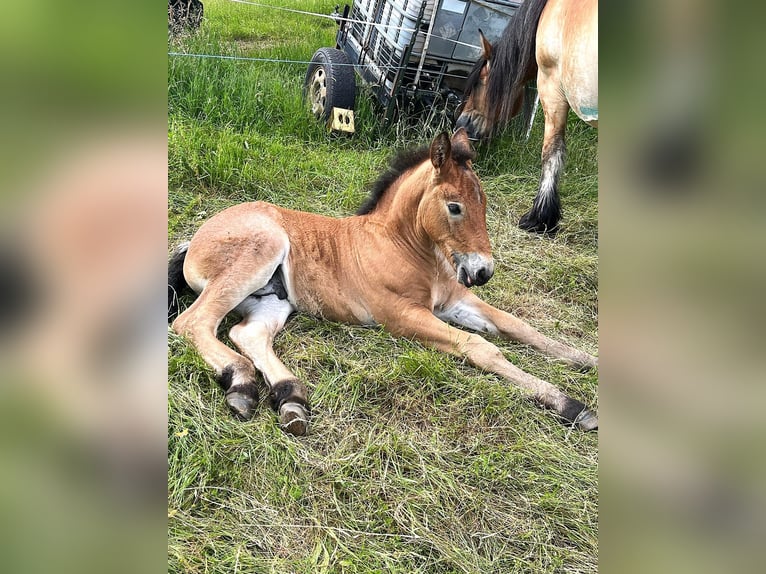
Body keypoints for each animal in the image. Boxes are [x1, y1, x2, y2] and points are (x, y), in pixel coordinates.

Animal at [170, 132, 600, 436]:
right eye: (455, 206)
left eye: (485, 204)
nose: (483, 272)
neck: (407, 248)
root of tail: (196, 238)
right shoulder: (402, 315)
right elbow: (481, 346)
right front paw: (571, 405)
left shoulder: (454, 302)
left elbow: (517, 326)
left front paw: (587, 361)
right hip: (260, 254)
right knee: (192, 322)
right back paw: (243, 385)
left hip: (274, 299)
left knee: (247, 334)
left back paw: (290, 400)